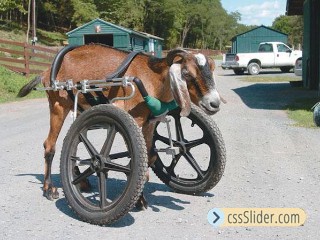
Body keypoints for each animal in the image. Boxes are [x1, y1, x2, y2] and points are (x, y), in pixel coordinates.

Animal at [18, 45, 222, 206]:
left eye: (210, 72)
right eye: (186, 73)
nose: (214, 103)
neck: (151, 77)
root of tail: (46, 71)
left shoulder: (150, 123)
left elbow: (151, 156)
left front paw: (142, 197)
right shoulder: (131, 118)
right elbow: (135, 159)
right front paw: (139, 200)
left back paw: (80, 181)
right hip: (58, 105)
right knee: (50, 145)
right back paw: (49, 188)